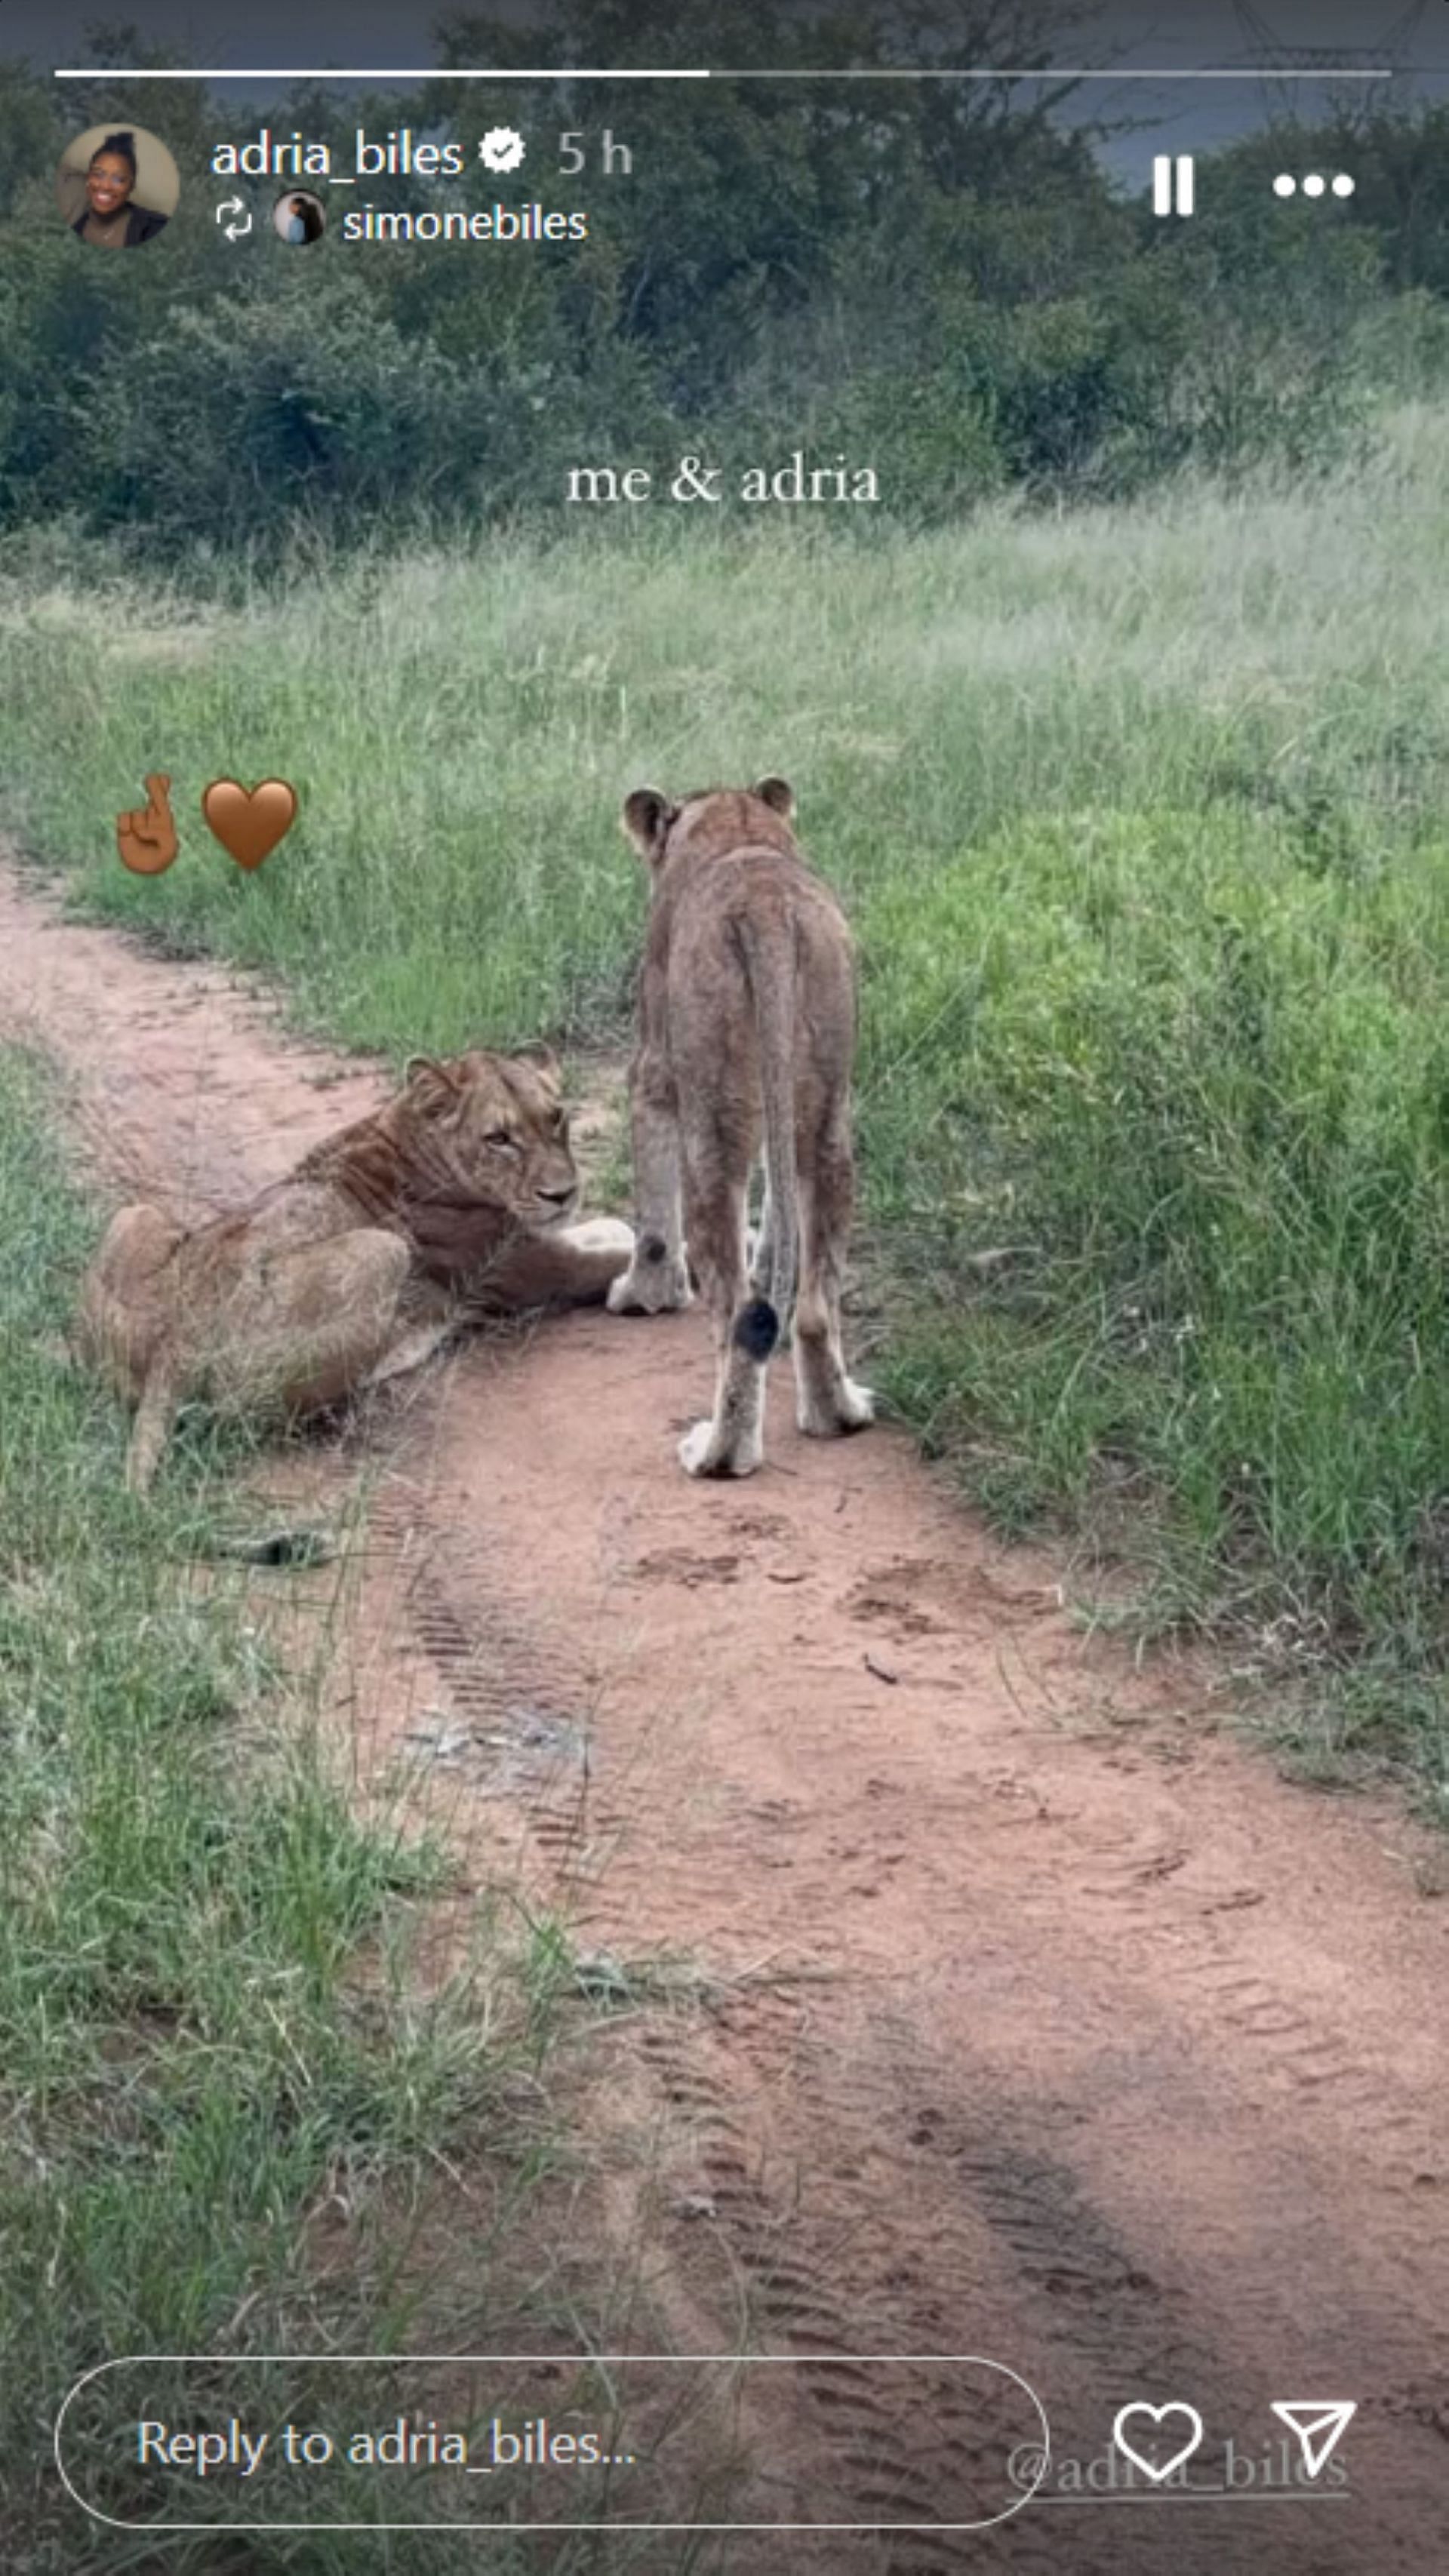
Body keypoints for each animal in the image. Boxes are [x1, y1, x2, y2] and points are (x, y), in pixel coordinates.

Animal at [78, 1041, 632, 1494]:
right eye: (498, 1138)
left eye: (556, 1118)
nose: (563, 1193)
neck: (403, 1128)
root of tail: (178, 1341)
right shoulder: (527, 1267)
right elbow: (614, 1250)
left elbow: (614, 1227)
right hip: (383, 1252)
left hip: (134, 1216)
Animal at [605, 773, 876, 1483]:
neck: (738, 829)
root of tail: (766, 908)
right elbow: (780, 1212)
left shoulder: (653, 1066)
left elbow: (652, 1218)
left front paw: (643, 1293)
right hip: (828, 1113)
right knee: (812, 1307)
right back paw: (838, 1414)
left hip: (712, 1125)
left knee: (735, 1314)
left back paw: (719, 1453)